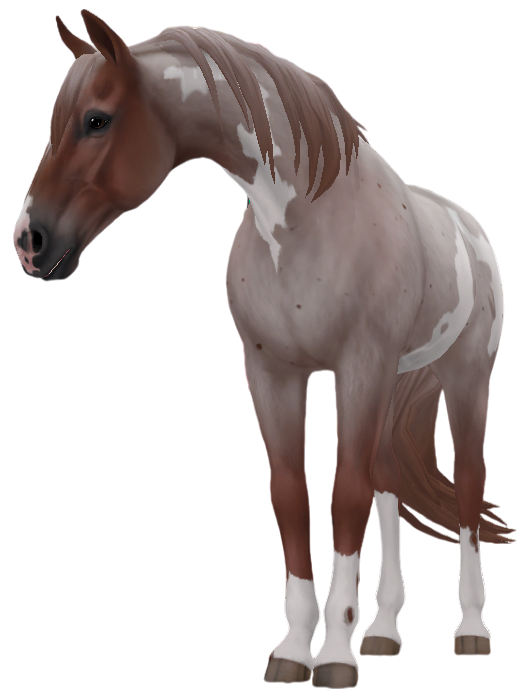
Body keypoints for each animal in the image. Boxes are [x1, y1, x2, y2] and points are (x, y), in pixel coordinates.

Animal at [13, 11, 514, 688]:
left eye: (97, 119)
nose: (28, 240)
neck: (305, 217)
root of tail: (467, 227)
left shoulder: (358, 365)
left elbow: (345, 492)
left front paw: (334, 656)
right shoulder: (271, 371)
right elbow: (291, 495)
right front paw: (294, 649)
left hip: (463, 377)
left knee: (464, 484)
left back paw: (470, 628)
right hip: (391, 384)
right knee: (387, 480)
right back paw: (384, 631)